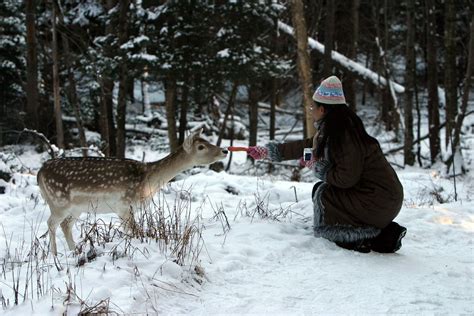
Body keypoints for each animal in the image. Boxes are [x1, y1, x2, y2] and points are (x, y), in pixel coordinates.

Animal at [38, 130, 227, 256]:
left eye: (207, 140)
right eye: (201, 147)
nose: (224, 150)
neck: (148, 181)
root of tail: (39, 173)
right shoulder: (123, 205)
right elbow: (136, 232)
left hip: (76, 207)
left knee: (66, 225)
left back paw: (75, 252)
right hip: (58, 202)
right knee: (51, 223)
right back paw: (55, 256)